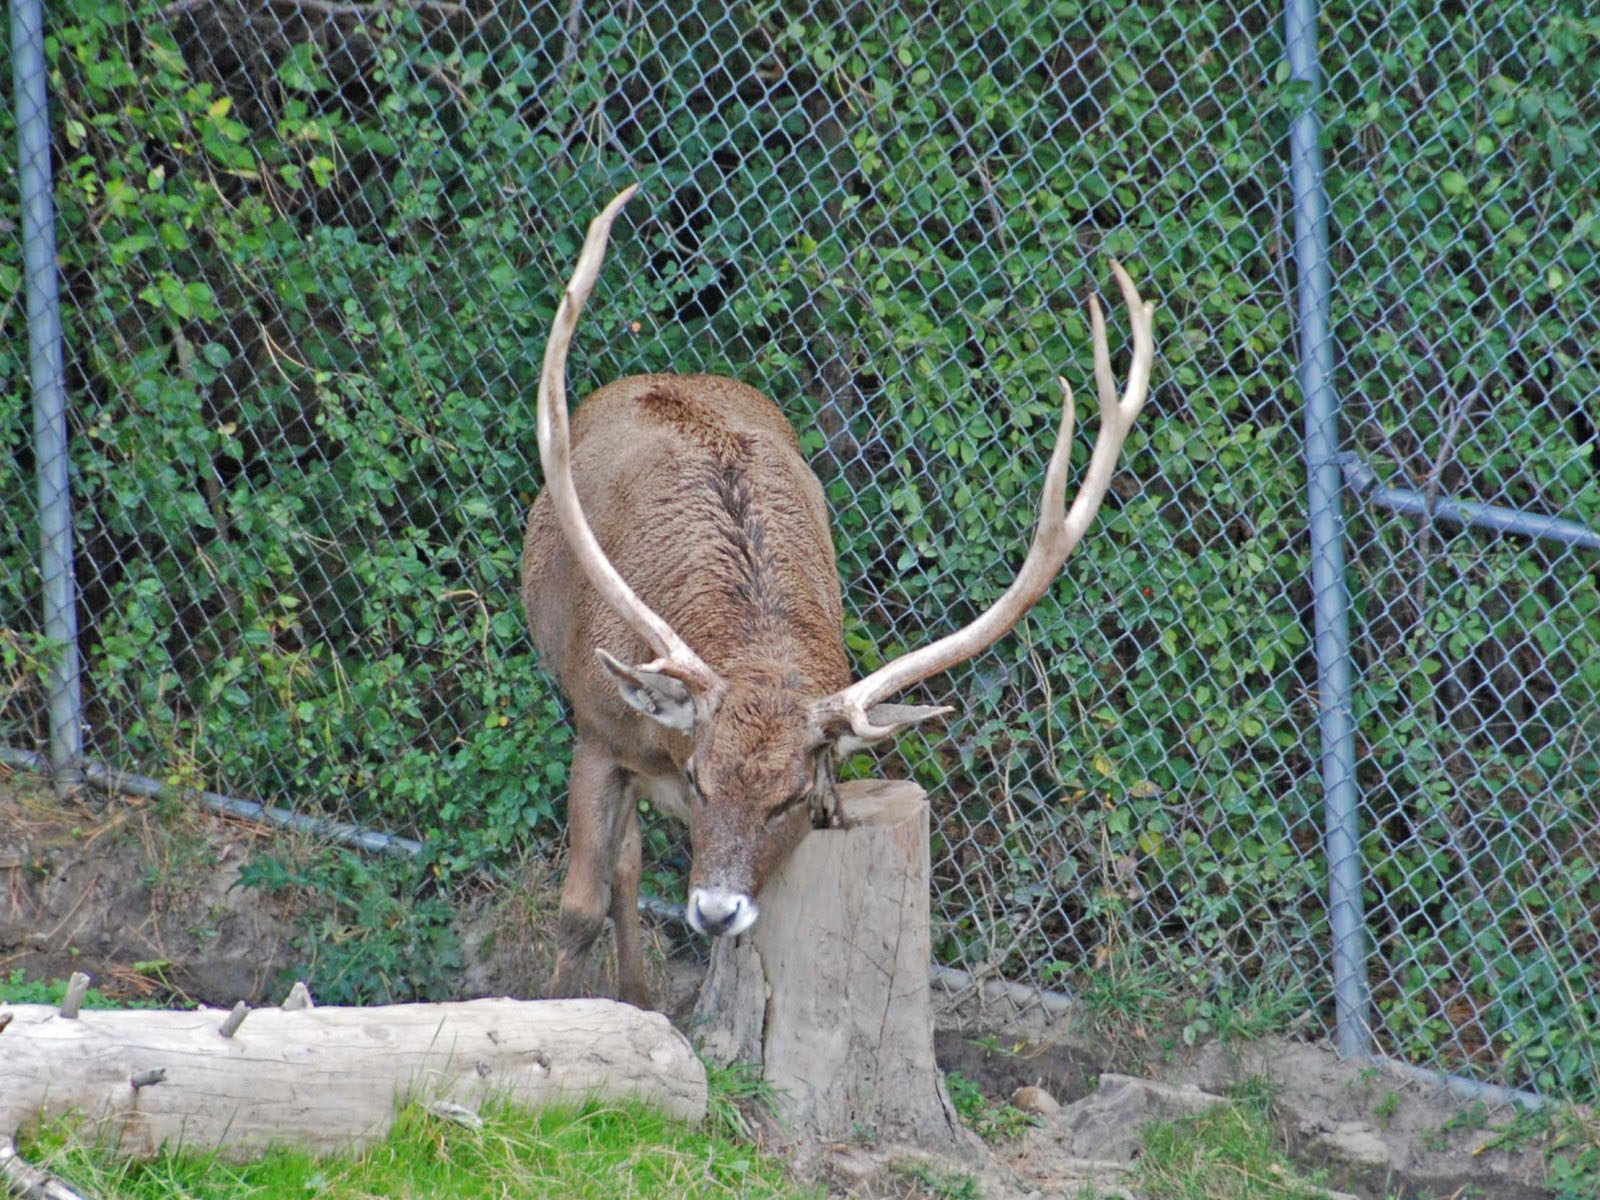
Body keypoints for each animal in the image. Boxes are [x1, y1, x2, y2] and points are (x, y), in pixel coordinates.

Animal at [521, 185, 1154, 1008]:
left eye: (792, 797)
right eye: (700, 778)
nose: (716, 910)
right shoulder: (599, 726)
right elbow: (577, 909)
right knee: (620, 866)